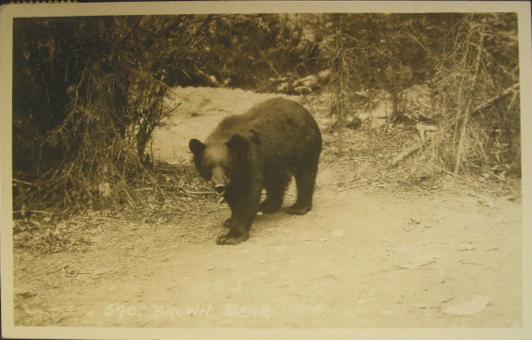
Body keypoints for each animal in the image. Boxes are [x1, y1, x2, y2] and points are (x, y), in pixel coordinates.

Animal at [189, 97, 322, 244]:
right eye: (209, 167)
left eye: (226, 166)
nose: (219, 186)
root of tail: (305, 111)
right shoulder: (233, 178)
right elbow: (232, 196)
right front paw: (229, 221)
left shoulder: (251, 159)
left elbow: (249, 194)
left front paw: (230, 236)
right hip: (275, 161)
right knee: (276, 181)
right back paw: (267, 205)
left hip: (305, 146)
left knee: (305, 174)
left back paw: (298, 207)